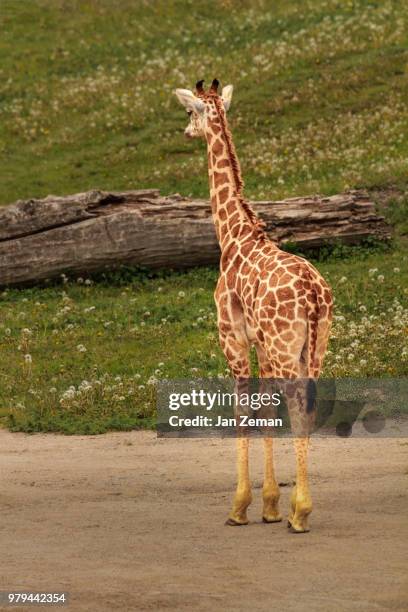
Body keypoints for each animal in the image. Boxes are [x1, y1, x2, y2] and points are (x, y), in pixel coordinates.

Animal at [174, 80, 334, 532]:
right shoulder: (260, 343)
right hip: (314, 347)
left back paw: (301, 513)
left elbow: (243, 409)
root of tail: (314, 295)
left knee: (298, 407)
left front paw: (240, 507)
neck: (232, 235)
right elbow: (265, 408)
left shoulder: (232, 339)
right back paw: (297, 508)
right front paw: (269, 505)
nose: (185, 131)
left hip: (286, 350)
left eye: (189, 111)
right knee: (309, 407)